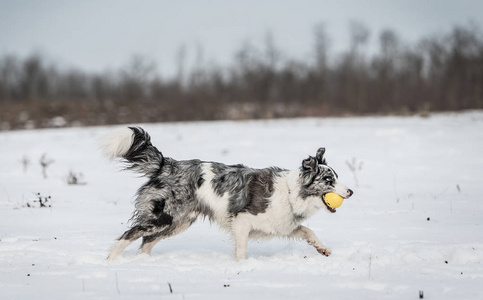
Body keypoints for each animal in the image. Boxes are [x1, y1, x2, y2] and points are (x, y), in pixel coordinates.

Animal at [102, 126, 354, 260]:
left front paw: (323, 249)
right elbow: (241, 249)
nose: (351, 191)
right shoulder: (242, 220)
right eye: (329, 180)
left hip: (178, 222)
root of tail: (165, 164)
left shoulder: (283, 224)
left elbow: (307, 231)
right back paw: (112, 260)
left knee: (146, 241)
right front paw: (240, 266)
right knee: (129, 234)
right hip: (164, 217)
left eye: (337, 177)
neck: (292, 193)